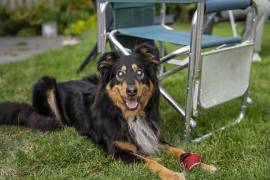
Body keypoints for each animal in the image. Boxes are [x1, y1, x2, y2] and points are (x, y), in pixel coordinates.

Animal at [0, 44, 216, 180]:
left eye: (139, 73)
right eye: (120, 74)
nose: (131, 91)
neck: (129, 117)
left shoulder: (153, 137)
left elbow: (180, 150)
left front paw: (205, 166)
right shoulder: (116, 150)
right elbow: (149, 161)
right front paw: (172, 173)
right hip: (45, 83)